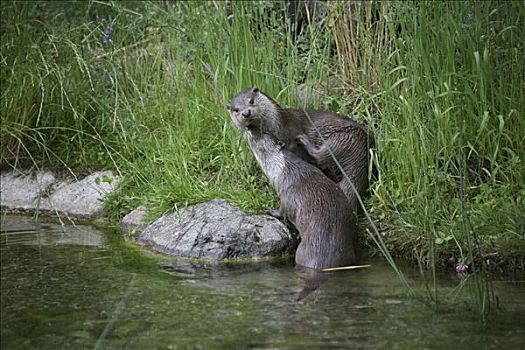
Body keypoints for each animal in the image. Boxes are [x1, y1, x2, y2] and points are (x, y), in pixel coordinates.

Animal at [227, 89, 370, 212]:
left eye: (251, 101)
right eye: (236, 110)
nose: (246, 113)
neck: (278, 128)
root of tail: (365, 148)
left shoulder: (291, 136)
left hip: (343, 137)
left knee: (320, 155)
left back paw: (305, 140)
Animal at [243, 129, 356, 268]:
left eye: (265, 133)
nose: (248, 130)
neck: (285, 171)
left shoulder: (287, 195)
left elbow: (283, 212)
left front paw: (270, 211)